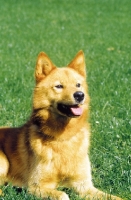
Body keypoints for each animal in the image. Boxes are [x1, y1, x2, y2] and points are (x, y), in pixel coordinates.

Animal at [0, 50, 122, 199]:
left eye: (78, 85)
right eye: (59, 86)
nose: (80, 95)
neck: (63, 137)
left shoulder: (84, 186)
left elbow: (114, 197)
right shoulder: (36, 186)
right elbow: (63, 195)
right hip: (3, 163)